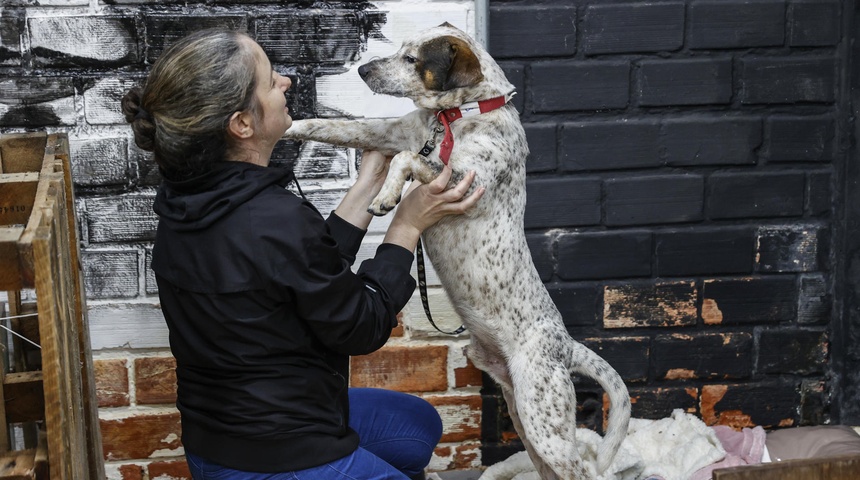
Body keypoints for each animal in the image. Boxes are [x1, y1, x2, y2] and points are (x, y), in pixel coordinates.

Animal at [286, 23, 628, 480]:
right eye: (400, 48)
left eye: (412, 59)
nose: (362, 70)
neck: (457, 117)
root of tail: (566, 345)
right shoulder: (387, 133)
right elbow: (327, 125)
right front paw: (281, 123)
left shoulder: (464, 181)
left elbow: (406, 160)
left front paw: (387, 196)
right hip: (526, 420)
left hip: (546, 424)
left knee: (588, 470)